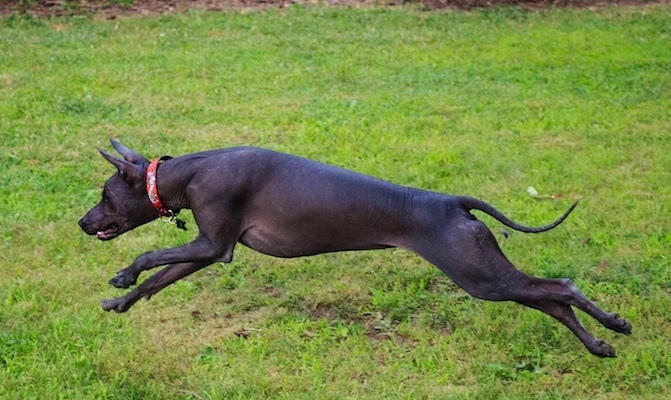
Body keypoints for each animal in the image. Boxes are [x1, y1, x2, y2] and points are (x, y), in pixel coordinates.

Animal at [79, 140, 632, 356]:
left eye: (105, 196)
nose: (83, 223)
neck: (190, 173)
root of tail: (452, 202)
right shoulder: (208, 251)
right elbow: (158, 280)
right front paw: (120, 301)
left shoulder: (212, 243)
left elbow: (150, 258)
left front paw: (123, 275)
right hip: (486, 274)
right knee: (550, 299)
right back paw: (600, 344)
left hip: (480, 276)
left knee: (560, 287)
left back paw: (614, 324)